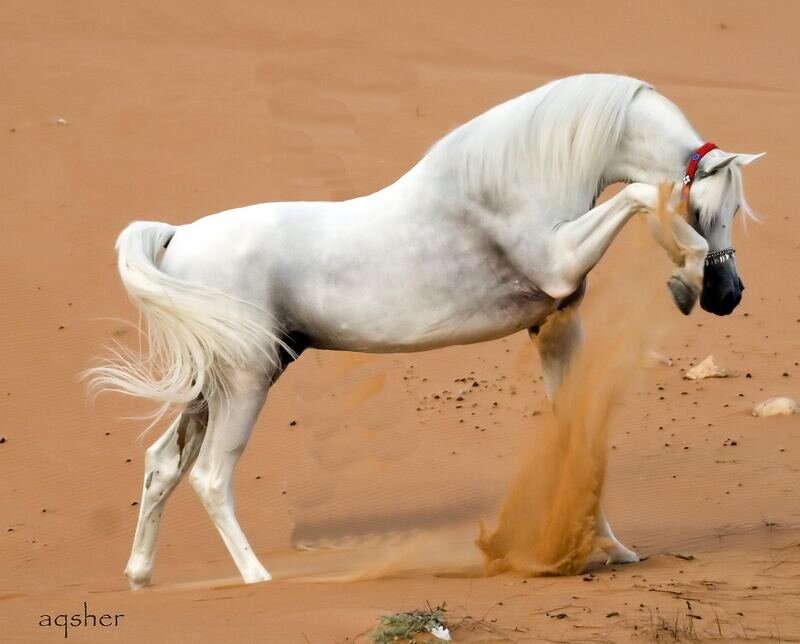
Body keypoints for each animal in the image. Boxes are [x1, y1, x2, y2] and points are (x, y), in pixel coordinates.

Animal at [88, 73, 763, 589]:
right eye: (708, 207)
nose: (727, 296)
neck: (520, 175)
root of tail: (178, 236)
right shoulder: (559, 261)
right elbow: (644, 195)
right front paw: (682, 273)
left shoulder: (554, 325)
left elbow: (578, 438)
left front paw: (611, 550)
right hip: (247, 382)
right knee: (209, 476)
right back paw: (257, 579)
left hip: (213, 387)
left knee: (162, 464)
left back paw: (141, 576)